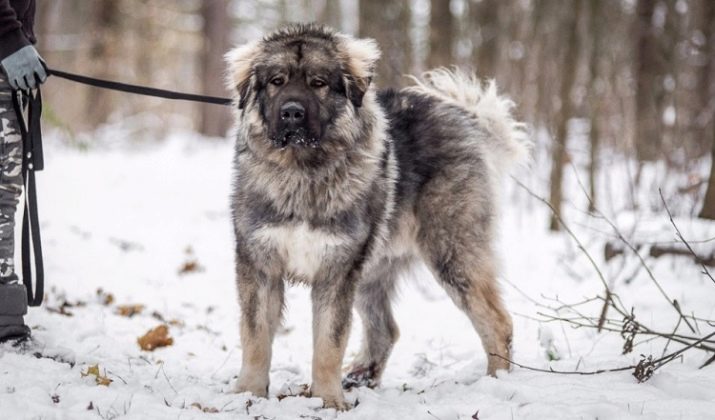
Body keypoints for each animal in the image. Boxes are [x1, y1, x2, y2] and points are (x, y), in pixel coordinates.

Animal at [225, 23, 528, 409]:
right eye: (276, 81)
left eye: (318, 83)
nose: (292, 113)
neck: (302, 171)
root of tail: (465, 117)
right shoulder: (260, 264)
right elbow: (255, 336)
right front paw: (247, 393)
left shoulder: (336, 271)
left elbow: (328, 343)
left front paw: (327, 401)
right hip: (374, 268)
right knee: (385, 329)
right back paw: (359, 378)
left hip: (452, 253)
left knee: (497, 321)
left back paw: (496, 383)